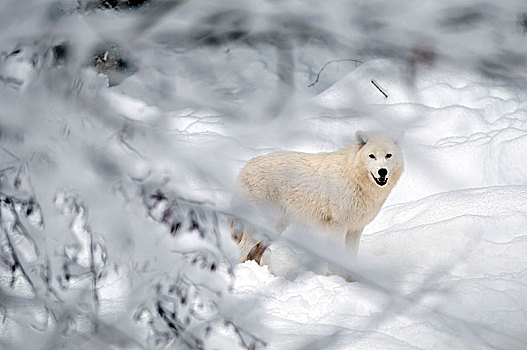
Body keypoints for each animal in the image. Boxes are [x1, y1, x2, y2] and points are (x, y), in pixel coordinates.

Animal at [231, 130, 404, 274]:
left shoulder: (355, 230)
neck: (354, 178)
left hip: (274, 230)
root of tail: (244, 169)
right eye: (372, 156)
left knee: (254, 254)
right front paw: (337, 279)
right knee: (241, 251)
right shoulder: (337, 228)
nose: (382, 171)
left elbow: (351, 258)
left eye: (388, 155)